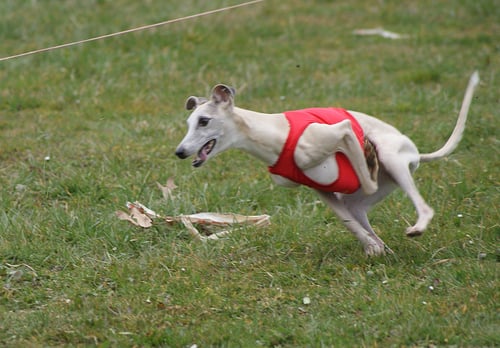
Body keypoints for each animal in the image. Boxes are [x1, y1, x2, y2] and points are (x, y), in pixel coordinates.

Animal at [176, 71, 480, 256]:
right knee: (359, 212)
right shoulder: (319, 189)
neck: (274, 133)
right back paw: (380, 248)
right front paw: (371, 247)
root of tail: (415, 153)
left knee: (418, 204)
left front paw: (368, 158)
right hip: (364, 197)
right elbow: (349, 222)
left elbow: (366, 178)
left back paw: (414, 226)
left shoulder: (342, 130)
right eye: (189, 122)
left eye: (204, 121)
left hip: (393, 160)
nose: (179, 152)